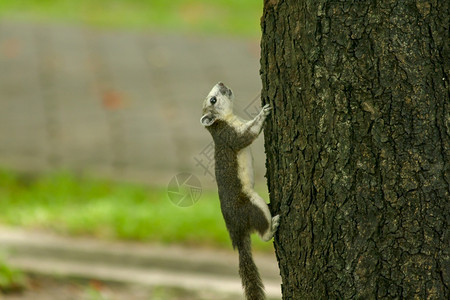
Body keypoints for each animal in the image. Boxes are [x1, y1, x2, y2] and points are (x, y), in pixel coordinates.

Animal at [200, 82, 278, 300]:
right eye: (213, 100)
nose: (221, 83)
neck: (225, 121)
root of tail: (236, 230)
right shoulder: (231, 136)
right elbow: (246, 136)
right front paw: (263, 113)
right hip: (251, 206)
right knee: (263, 232)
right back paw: (273, 226)